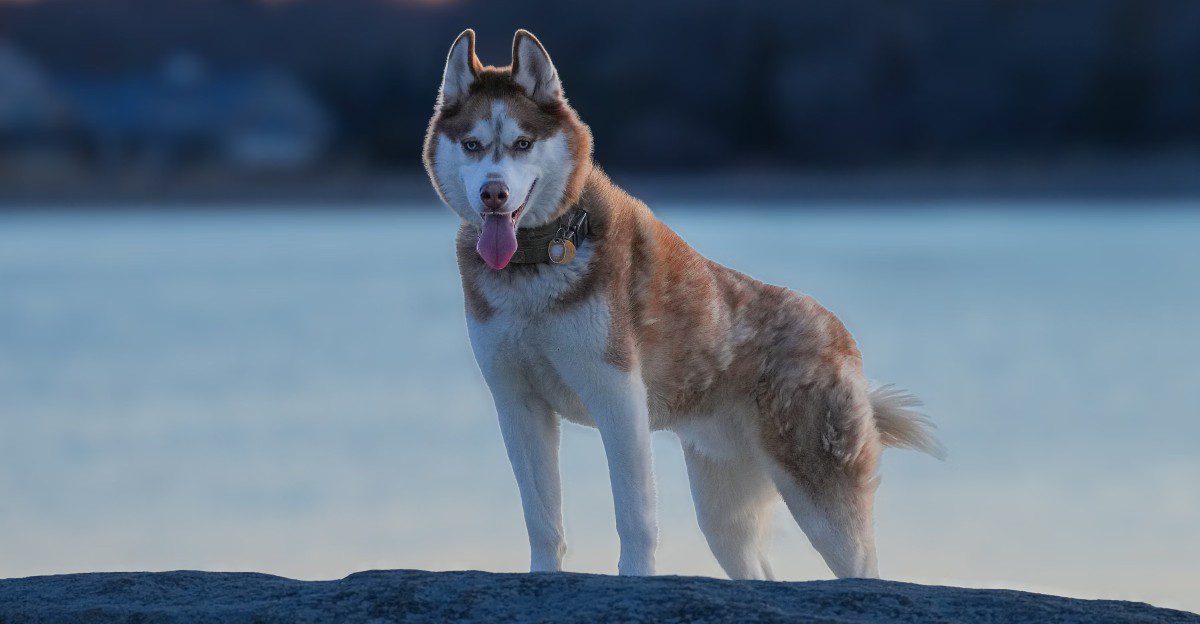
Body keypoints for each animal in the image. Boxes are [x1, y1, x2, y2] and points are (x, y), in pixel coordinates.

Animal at [423, 29, 944, 579]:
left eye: (522, 143)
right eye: (473, 145)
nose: (493, 194)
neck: (538, 260)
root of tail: (841, 337)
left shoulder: (617, 393)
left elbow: (634, 512)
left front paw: (634, 576)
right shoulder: (517, 402)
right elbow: (542, 517)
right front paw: (543, 574)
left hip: (823, 499)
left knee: (862, 567)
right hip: (723, 510)